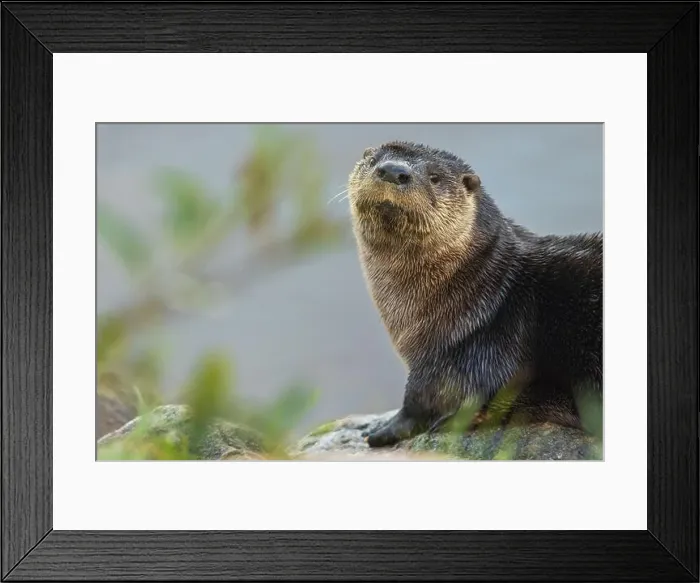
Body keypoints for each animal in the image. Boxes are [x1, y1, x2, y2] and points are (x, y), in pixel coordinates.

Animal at [347, 141, 602, 448]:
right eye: (374, 161)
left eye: (435, 177)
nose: (393, 171)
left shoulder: (462, 354)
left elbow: (422, 399)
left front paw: (386, 429)